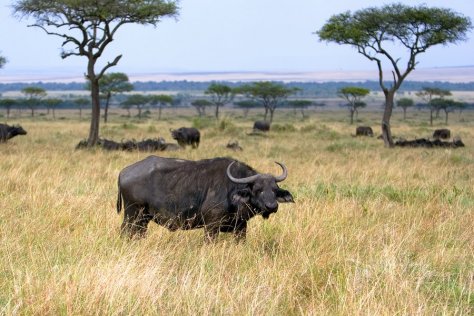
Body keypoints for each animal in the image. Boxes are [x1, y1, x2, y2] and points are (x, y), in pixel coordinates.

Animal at [115, 157, 292, 241]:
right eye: (258, 189)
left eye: (274, 189)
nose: (272, 206)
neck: (232, 190)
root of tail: (124, 171)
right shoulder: (211, 227)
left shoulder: (241, 227)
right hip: (132, 215)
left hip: (143, 219)